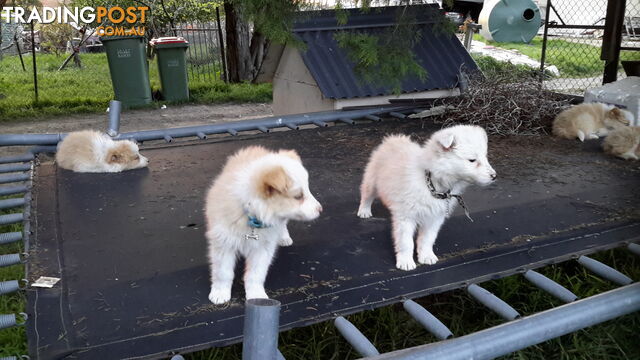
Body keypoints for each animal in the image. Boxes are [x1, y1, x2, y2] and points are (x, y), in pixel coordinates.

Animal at [205, 146, 322, 304]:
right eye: (298, 196)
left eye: (308, 189)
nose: (320, 209)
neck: (252, 215)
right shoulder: (223, 243)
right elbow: (223, 272)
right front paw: (220, 293)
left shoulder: (263, 248)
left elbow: (256, 274)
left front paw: (256, 296)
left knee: (283, 224)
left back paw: (284, 237)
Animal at [358, 126, 498, 270]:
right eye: (472, 160)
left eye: (485, 157)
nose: (494, 176)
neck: (431, 183)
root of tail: (394, 139)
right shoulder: (406, 217)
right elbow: (406, 242)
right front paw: (406, 261)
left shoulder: (435, 217)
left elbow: (427, 239)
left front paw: (426, 256)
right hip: (372, 180)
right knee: (366, 195)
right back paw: (364, 211)